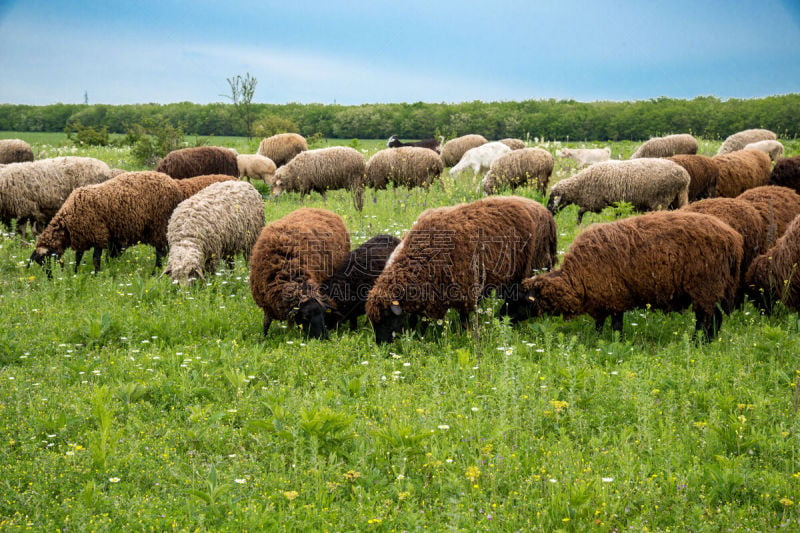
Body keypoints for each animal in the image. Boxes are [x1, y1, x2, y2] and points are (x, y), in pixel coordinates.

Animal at [29, 171, 183, 272]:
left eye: (47, 260)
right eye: (39, 262)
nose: (50, 278)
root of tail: (173, 183)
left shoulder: (97, 234)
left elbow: (95, 259)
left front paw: (96, 275)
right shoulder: (82, 237)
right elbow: (78, 257)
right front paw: (76, 272)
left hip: (159, 225)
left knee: (161, 251)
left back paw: (155, 271)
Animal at [250, 206, 350, 338]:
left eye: (323, 314)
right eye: (305, 317)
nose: (324, 337)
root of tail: (320, 209)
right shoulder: (267, 304)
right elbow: (266, 322)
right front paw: (263, 338)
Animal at [364, 197, 556, 342]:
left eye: (387, 318)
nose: (381, 345)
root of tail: (540, 208)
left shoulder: (464, 290)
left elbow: (463, 318)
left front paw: (467, 335)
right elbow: (417, 318)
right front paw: (417, 335)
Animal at [520, 210, 740, 338]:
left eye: (523, 299)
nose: (509, 320)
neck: (576, 278)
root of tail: (733, 238)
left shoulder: (616, 296)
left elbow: (616, 325)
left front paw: (615, 342)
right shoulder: (602, 297)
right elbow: (600, 323)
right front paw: (598, 338)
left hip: (706, 285)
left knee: (708, 319)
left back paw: (698, 342)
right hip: (712, 287)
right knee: (714, 318)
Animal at [548, 159, 692, 223]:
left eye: (551, 199)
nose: (549, 212)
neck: (578, 186)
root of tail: (685, 176)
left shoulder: (595, 203)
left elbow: (580, 212)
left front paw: (578, 225)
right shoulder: (616, 203)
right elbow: (617, 213)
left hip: (662, 199)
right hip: (676, 197)